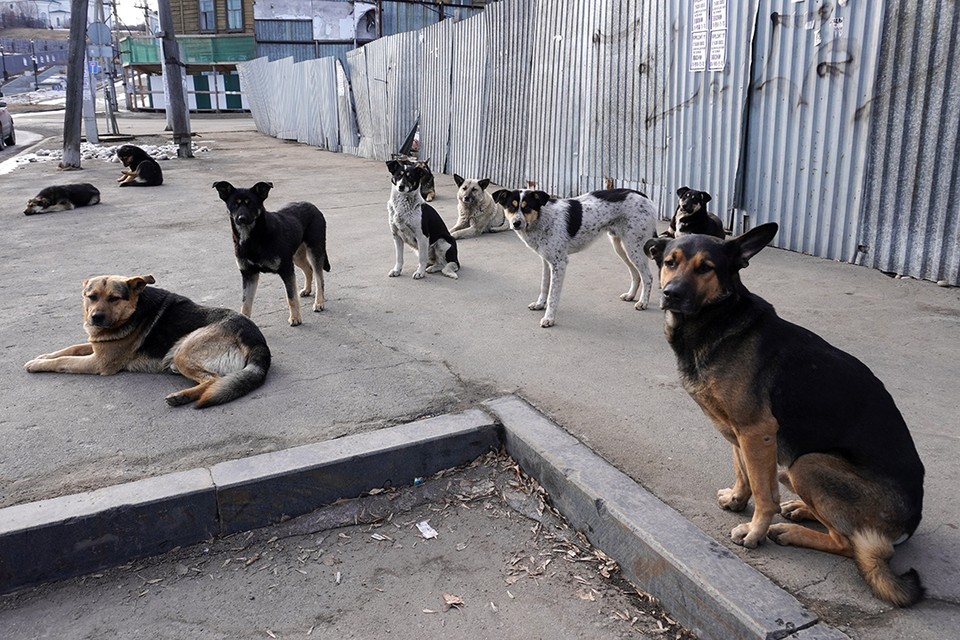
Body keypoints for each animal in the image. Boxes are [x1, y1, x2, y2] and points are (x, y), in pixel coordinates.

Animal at [496, 185, 660, 324]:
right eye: (511, 206)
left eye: (527, 207)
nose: (516, 223)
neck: (541, 218)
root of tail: (645, 197)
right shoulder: (546, 261)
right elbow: (544, 286)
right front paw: (539, 304)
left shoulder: (559, 263)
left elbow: (553, 295)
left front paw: (549, 318)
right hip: (622, 247)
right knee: (636, 274)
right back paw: (630, 295)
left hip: (634, 247)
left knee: (648, 276)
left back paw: (643, 302)